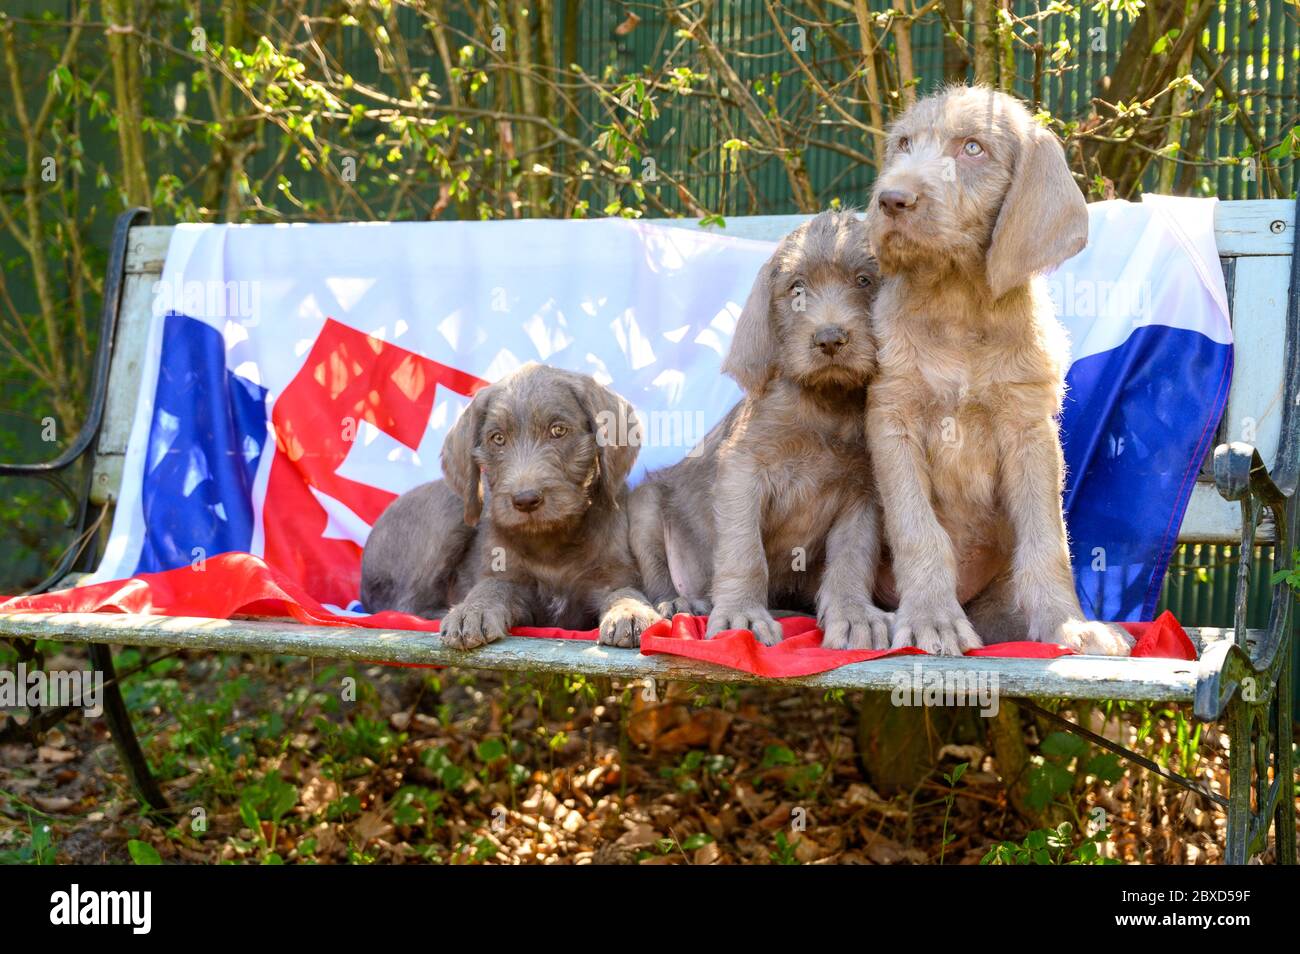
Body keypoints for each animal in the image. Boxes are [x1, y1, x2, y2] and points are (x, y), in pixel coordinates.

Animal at [361, 363, 660, 649]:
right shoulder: (507, 576)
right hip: (453, 509)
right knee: (405, 604)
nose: (525, 500)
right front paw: (471, 610)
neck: (551, 542)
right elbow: (490, 587)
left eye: (558, 430)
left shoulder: (611, 576)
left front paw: (630, 612)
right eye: (497, 438)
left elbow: (623, 591)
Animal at [626, 210, 894, 649]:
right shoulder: (743, 471)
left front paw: (854, 614)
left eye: (864, 281)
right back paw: (680, 603)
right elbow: (744, 551)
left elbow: (853, 557)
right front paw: (742, 615)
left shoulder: (864, 494)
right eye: (796, 288)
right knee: (658, 573)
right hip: (646, 506)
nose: (830, 338)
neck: (825, 402)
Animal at [868, 83, 1133, 657]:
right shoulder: (891, 419)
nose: (891, 199)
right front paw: (932, 618)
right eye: (903, 144)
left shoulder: (1030, 429)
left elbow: (1047, 539)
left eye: (973, 149)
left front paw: (1067, 622)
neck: (959, 305)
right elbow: (918, 529)